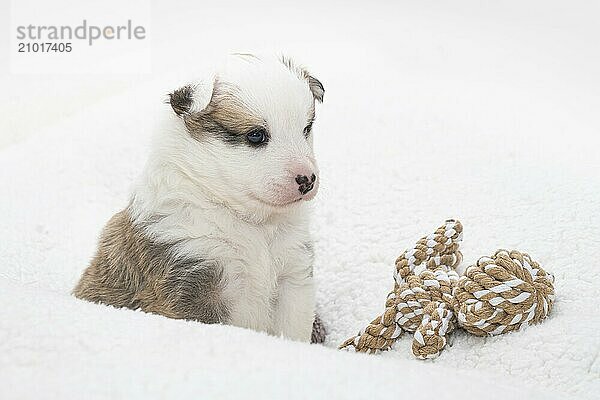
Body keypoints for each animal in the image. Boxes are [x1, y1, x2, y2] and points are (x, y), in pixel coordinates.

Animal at [75, 54, 328, 342]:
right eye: (255, 135)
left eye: (306, 128)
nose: (307, 179)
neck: (250, 223)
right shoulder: (191, 282)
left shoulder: (293, 277)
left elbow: (293, 332)